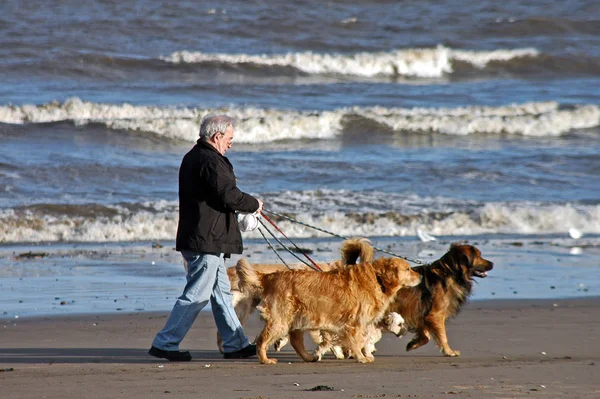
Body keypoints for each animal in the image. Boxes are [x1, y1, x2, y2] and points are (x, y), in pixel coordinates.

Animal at [236, 256, 422, 366]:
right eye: (408, 269)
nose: (420, 276)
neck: (377, 278)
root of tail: (269, 276)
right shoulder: (355, 323)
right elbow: (358, 341)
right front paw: (361, 357)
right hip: (280, 320)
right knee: (262, 339)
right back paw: (264, 359)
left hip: (296, 319)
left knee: (296, 341)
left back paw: (308, 357)